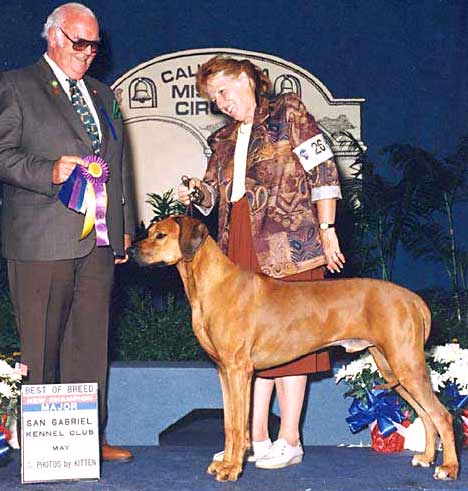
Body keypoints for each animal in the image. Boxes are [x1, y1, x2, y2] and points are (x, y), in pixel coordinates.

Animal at [133, 217, 458, 482]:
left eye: (160, 235)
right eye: (149, 232)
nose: (132, 251)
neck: (212, 284)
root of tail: (413, 298)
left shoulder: (240, 371)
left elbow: (239, 425)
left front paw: (233, 469)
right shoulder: (224, 371)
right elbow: (228, 424)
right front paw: (225, 463)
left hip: (406, 365)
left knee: (442, 415)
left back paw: (449, 468)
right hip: (392, 369)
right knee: (426, 414)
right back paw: (427, 457)